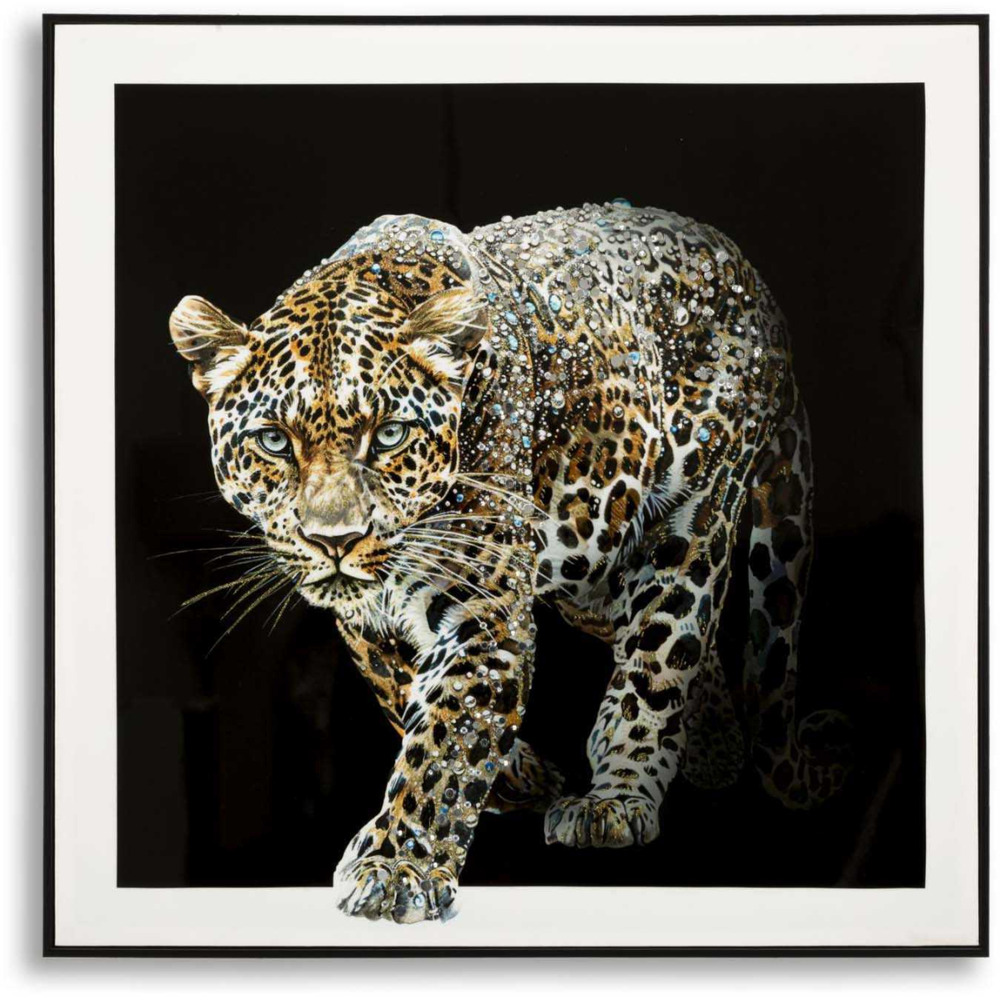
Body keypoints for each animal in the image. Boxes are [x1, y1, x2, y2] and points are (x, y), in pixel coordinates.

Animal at [170, 201, 849, 924]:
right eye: (274, 441)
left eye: (390, 436)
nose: (335, 539)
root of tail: (750, 276)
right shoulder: (369, 621)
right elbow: (402, 690)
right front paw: (514, 776)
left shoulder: (486, 608)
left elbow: (445, 735)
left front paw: (397, 867)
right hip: (591, 559)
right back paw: (714, 751)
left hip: (691, 518)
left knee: (662, 655)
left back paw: (618, 796)